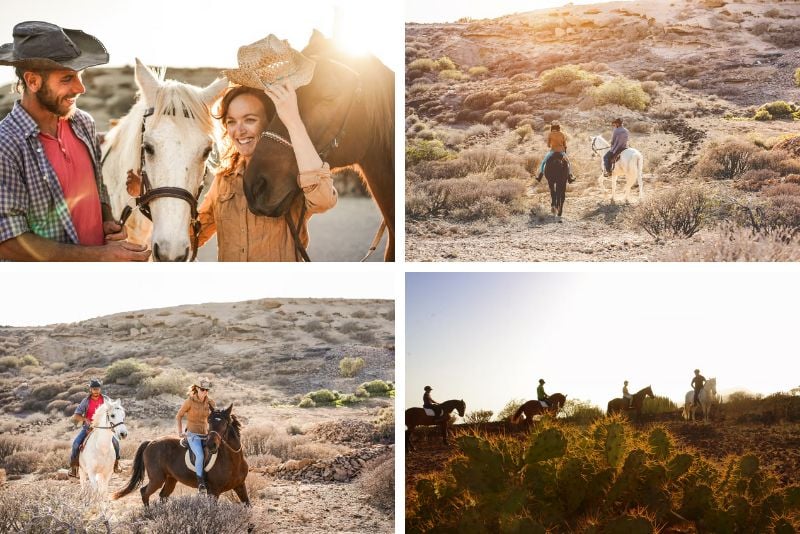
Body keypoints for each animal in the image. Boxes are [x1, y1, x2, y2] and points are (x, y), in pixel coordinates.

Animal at [111, 406, 245, 506]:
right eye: (209, 422)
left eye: (224, 423)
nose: (211, 445)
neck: (234, 461)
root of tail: (151, 442)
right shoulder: (214, 492)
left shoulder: (240, 486)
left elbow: (247, 506)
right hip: (157, 479)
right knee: (144, 492)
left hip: (171, 479)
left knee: (162, 496)